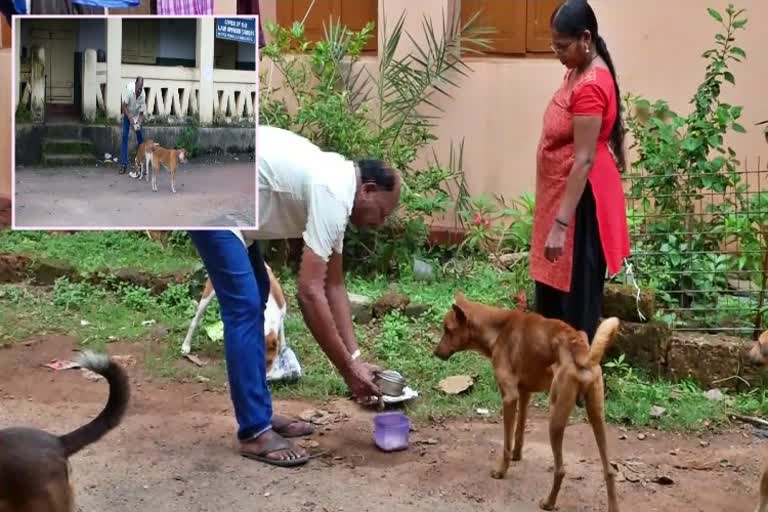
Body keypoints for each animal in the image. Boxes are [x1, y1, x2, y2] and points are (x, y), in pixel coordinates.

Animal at [436, 292, 620, 512]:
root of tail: (580, 350)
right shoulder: (524, 394)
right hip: (597, 416)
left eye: (447, 329)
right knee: (609, 470)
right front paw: (517, 455)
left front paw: (502, 470)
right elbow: (519, 431)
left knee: (560, 470)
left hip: (555, 418)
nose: (435, 353)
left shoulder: (509, 397)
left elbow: (506, 443)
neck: (498, 329)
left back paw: (549, 503)